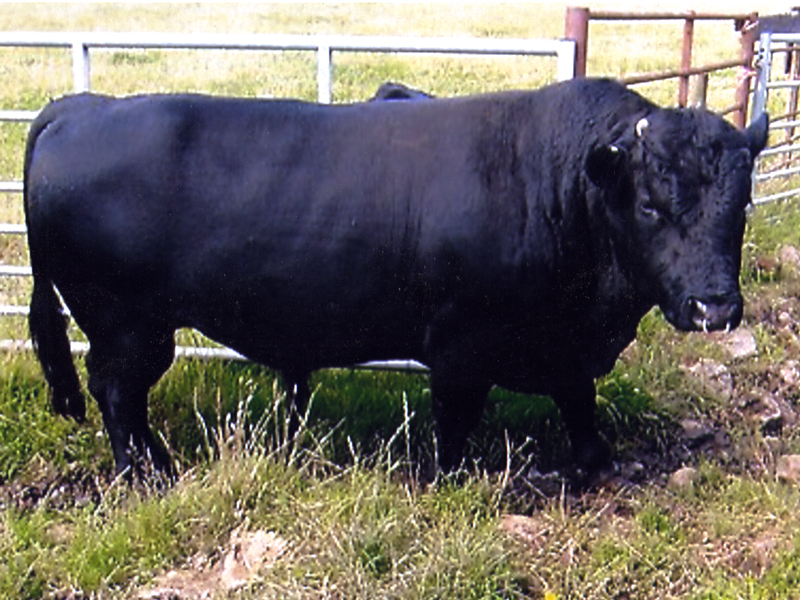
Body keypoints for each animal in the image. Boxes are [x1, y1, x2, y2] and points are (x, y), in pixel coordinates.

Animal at [26, 77, 768, 476]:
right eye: (650, 205)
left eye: (741, 204)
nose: (714, 308)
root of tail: (82, 106)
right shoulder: (462, 346)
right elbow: (455, 420)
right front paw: (449, 476)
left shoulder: (564, 344)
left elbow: (577, 398)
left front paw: (596, 461)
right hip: (128, 327)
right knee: (117, 394)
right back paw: (147, 471)